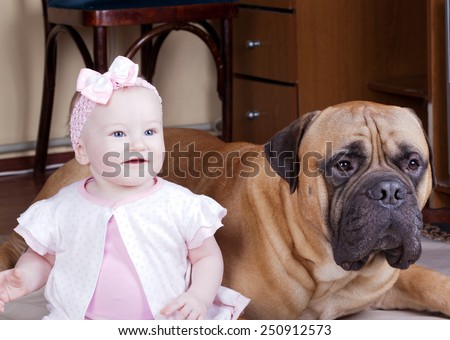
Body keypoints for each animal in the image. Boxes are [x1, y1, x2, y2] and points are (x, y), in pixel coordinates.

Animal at [0, 101, 450, 318]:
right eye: (343, 165)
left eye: (413, 163)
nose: (389, 191)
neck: (328, 273)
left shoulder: (390, 280)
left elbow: (434, 284)